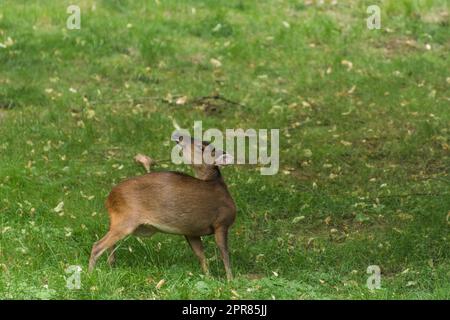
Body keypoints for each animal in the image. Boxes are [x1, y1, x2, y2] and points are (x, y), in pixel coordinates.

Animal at [87, 132, 236, 280]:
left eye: (202, 146)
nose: (179, 135)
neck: (217, 185)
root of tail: (109, 197)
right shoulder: (222, 222)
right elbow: (224, 254)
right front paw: (230, 280)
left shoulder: (194, 230)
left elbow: (202, 256)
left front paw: (209, 277)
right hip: (127, 218)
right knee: (97, 246)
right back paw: (90, 274)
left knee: (109, 245)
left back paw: (110, 267)